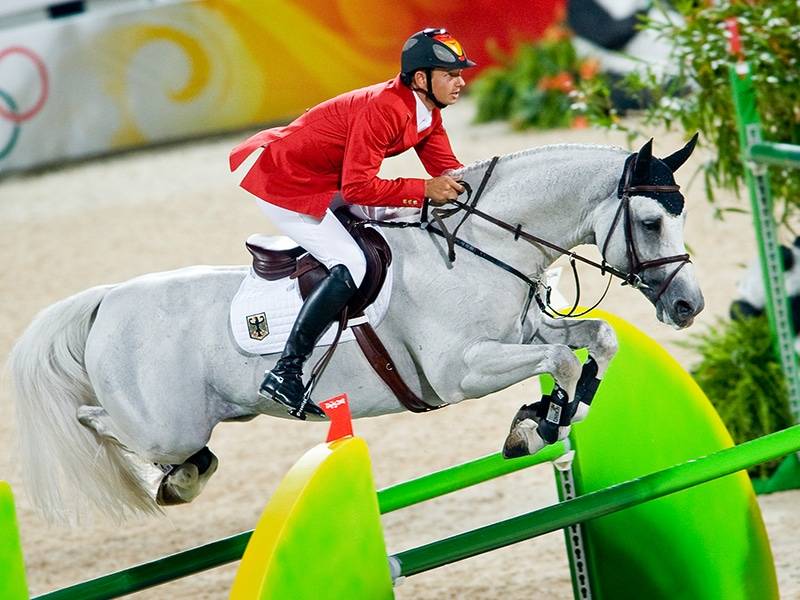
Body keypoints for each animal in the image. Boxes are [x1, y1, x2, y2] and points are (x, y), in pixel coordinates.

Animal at [8, 136, 704, 522]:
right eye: (649, 222)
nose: (688, 306)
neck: (479, 247)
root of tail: (106, 302)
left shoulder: (525, 332)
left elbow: (594, 343)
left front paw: (544, 418)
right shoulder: (461, 370)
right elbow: (558, 361)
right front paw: (541, 423)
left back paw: (183, 476)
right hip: (163, 421)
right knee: (97, 422)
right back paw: (173, 477)